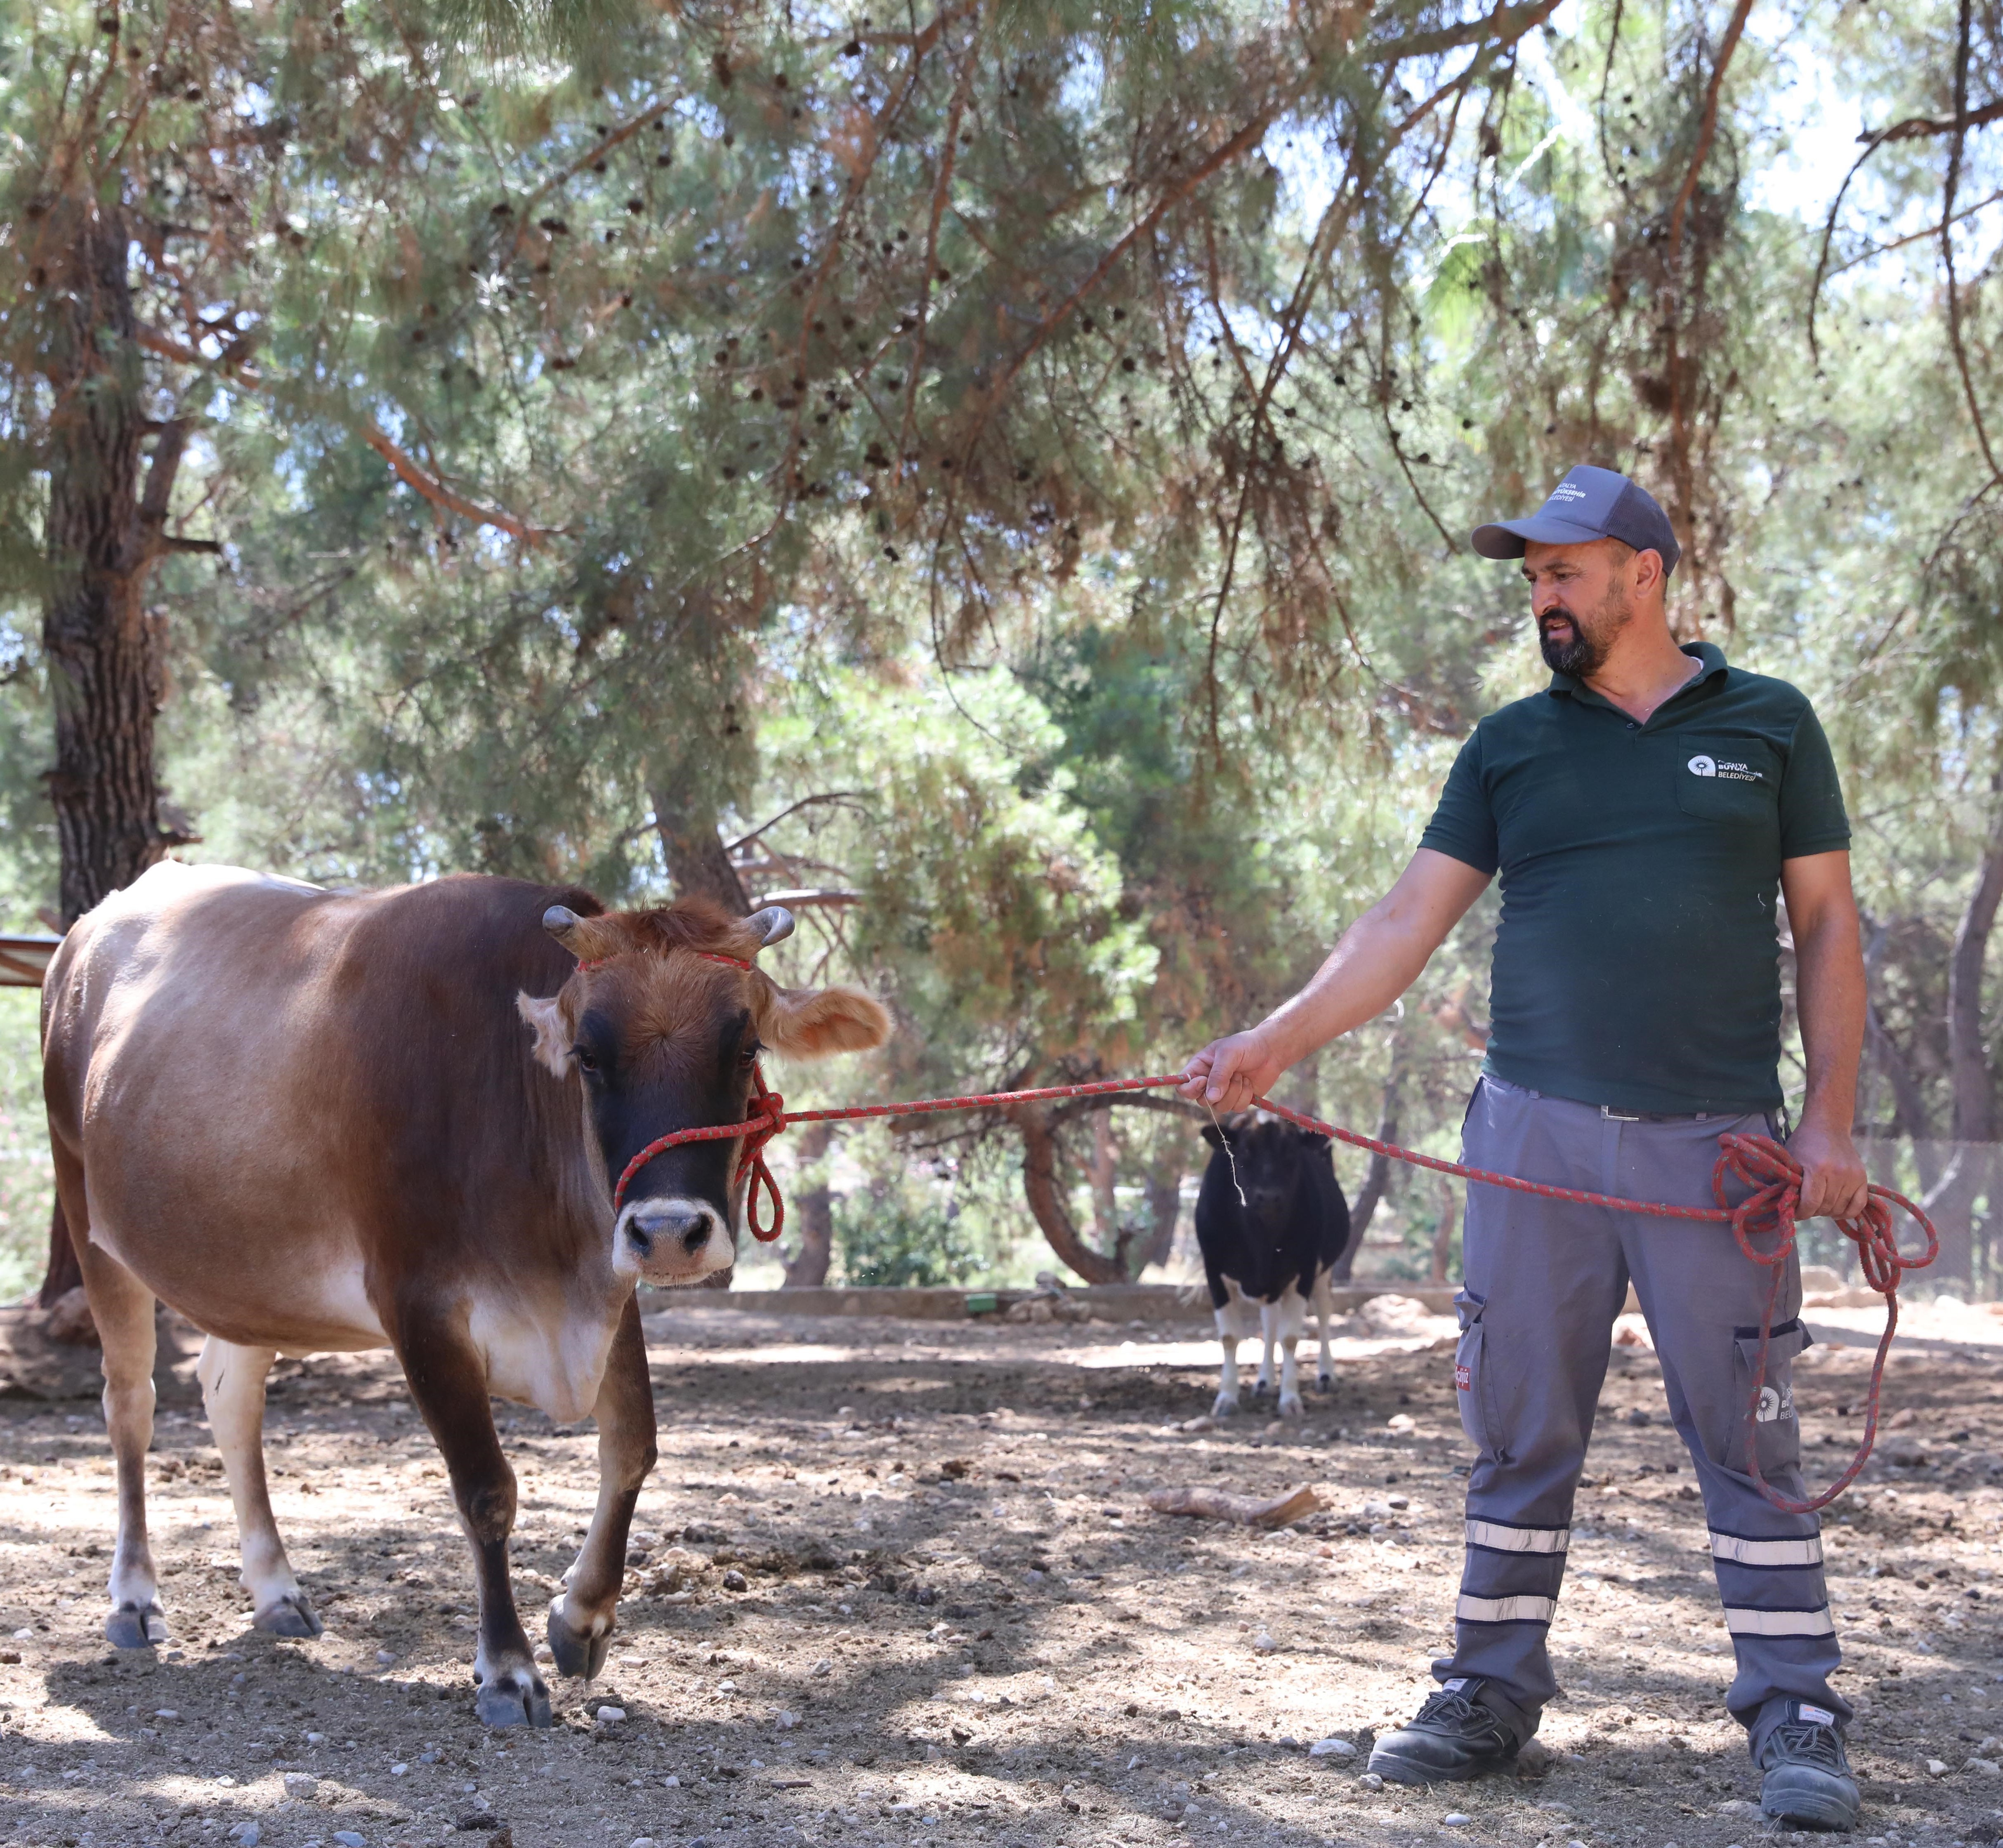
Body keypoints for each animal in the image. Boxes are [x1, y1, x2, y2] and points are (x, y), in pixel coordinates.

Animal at [35, 861, 885, 1730]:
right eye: (588, 1055)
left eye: (745, 1047)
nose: (672, 1230)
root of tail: (88, 932)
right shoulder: (419, 1305)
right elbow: (486, 1489)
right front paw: (508, 1669)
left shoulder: (605, 1292)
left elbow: (633, 1448)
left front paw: (581, 1617)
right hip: (88, 1214)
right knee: (131, 1404)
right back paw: (135, 1599)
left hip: (243, 1271)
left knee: (229, 1397)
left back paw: (275, 1590)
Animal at [1194, 1113, 1354, 1417]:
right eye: (1244, 1151)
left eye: (1291, 1152)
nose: (1268, 1197)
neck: (1262, 1245)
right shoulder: (1214, 1272)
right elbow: (1230, 1337)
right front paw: (1226, 1397)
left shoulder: (1304, 1272)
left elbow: (1290, 1337)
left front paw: (1290, 1399)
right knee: (1269, 1326)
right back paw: (1264, 1381)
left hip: (1323, 1273)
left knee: (1324, 1315)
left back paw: (1326, 1375)